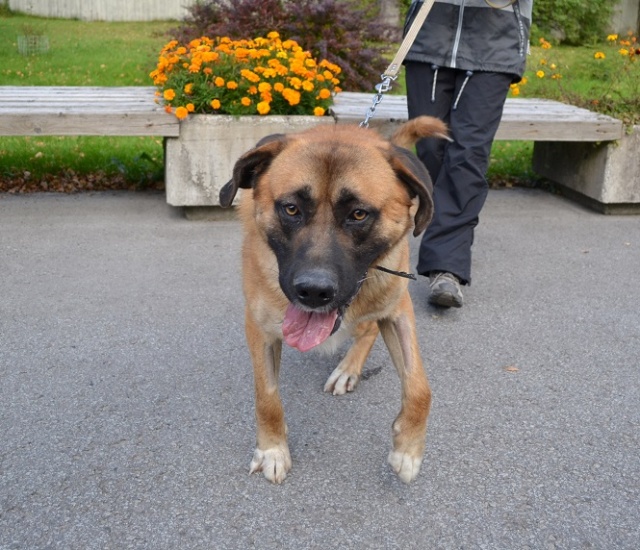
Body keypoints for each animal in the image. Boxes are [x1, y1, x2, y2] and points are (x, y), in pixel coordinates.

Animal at [219, 116, 447, 484]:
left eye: (358, 214)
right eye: (291, 208)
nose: (313, 291)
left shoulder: (398, 309)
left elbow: (420, 387)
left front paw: (408, 449)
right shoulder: (260, 327)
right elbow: (266, 396)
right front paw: (272, 449)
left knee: (368, 330)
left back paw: (348, 369)